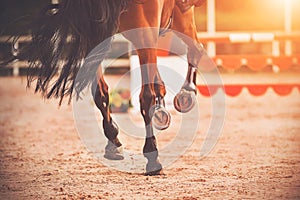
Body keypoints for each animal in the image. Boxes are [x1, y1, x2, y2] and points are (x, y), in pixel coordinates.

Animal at [13, 0, 206, 175]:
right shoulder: (95, 35)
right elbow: (101, 93)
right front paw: (114, 142)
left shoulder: (139, 32)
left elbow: (142, 95)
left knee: (195, 48)